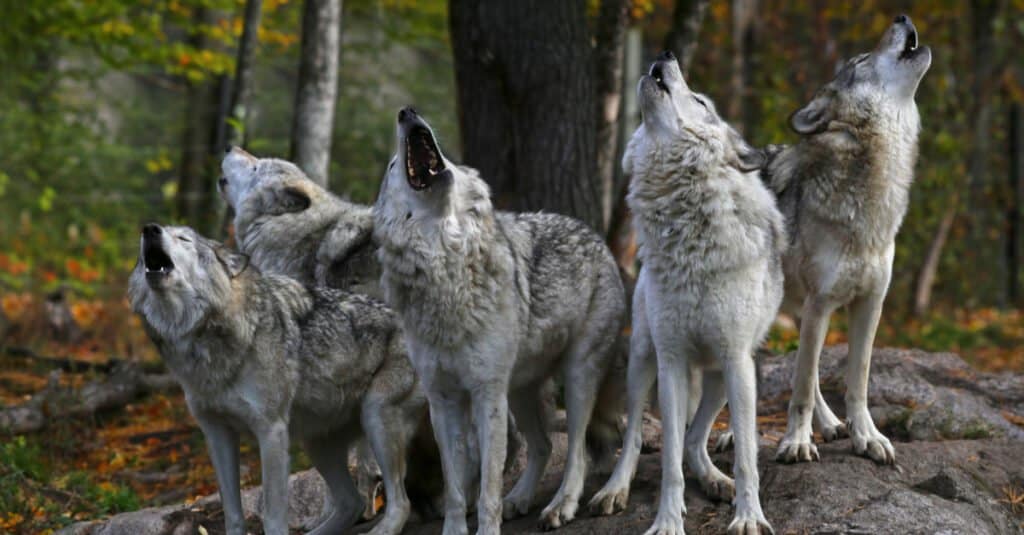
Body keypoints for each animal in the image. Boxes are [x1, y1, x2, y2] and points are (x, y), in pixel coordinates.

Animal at [129, 221, 423, 532]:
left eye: (184, 238)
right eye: (150, 234)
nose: (149, 228)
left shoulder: (270, 431)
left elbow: (272, 514)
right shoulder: (217, 434)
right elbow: (232, 512)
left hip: (376, 417)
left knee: (399, 501)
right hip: (317, 443)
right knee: (350, 502)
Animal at [370, 106, 622, 528]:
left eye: (449, 155)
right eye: (391, 167)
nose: (407, 111)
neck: (447, 267)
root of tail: (592, 233)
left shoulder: (487, 394)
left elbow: (487, 488)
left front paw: (488, 526)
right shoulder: (443, 403)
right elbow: (456, 491)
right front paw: (455, 530)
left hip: (576, 377)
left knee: (577, 452)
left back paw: (561, 505)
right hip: (518, 391)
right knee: (542, 445)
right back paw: (520, 499)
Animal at [589, 50, 778, 532]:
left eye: (701, 101)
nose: (665, 54)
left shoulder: (736, 361)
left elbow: (746, 455)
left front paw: (748, 516)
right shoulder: (671, 360)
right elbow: (668, 459)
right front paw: (668, 521)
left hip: (722, 376)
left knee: (697, 438)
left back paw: (715, 481)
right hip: (642, 359)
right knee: (636, 436)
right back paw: (614, 489)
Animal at [770, 14, 929, 463]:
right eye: (860, 60)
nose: (901, 16)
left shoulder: (869, 304)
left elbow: (856, 381)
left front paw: (868, 437)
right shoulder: (821, 303)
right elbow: (802, 389)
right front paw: (795, 442)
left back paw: (831, 425)